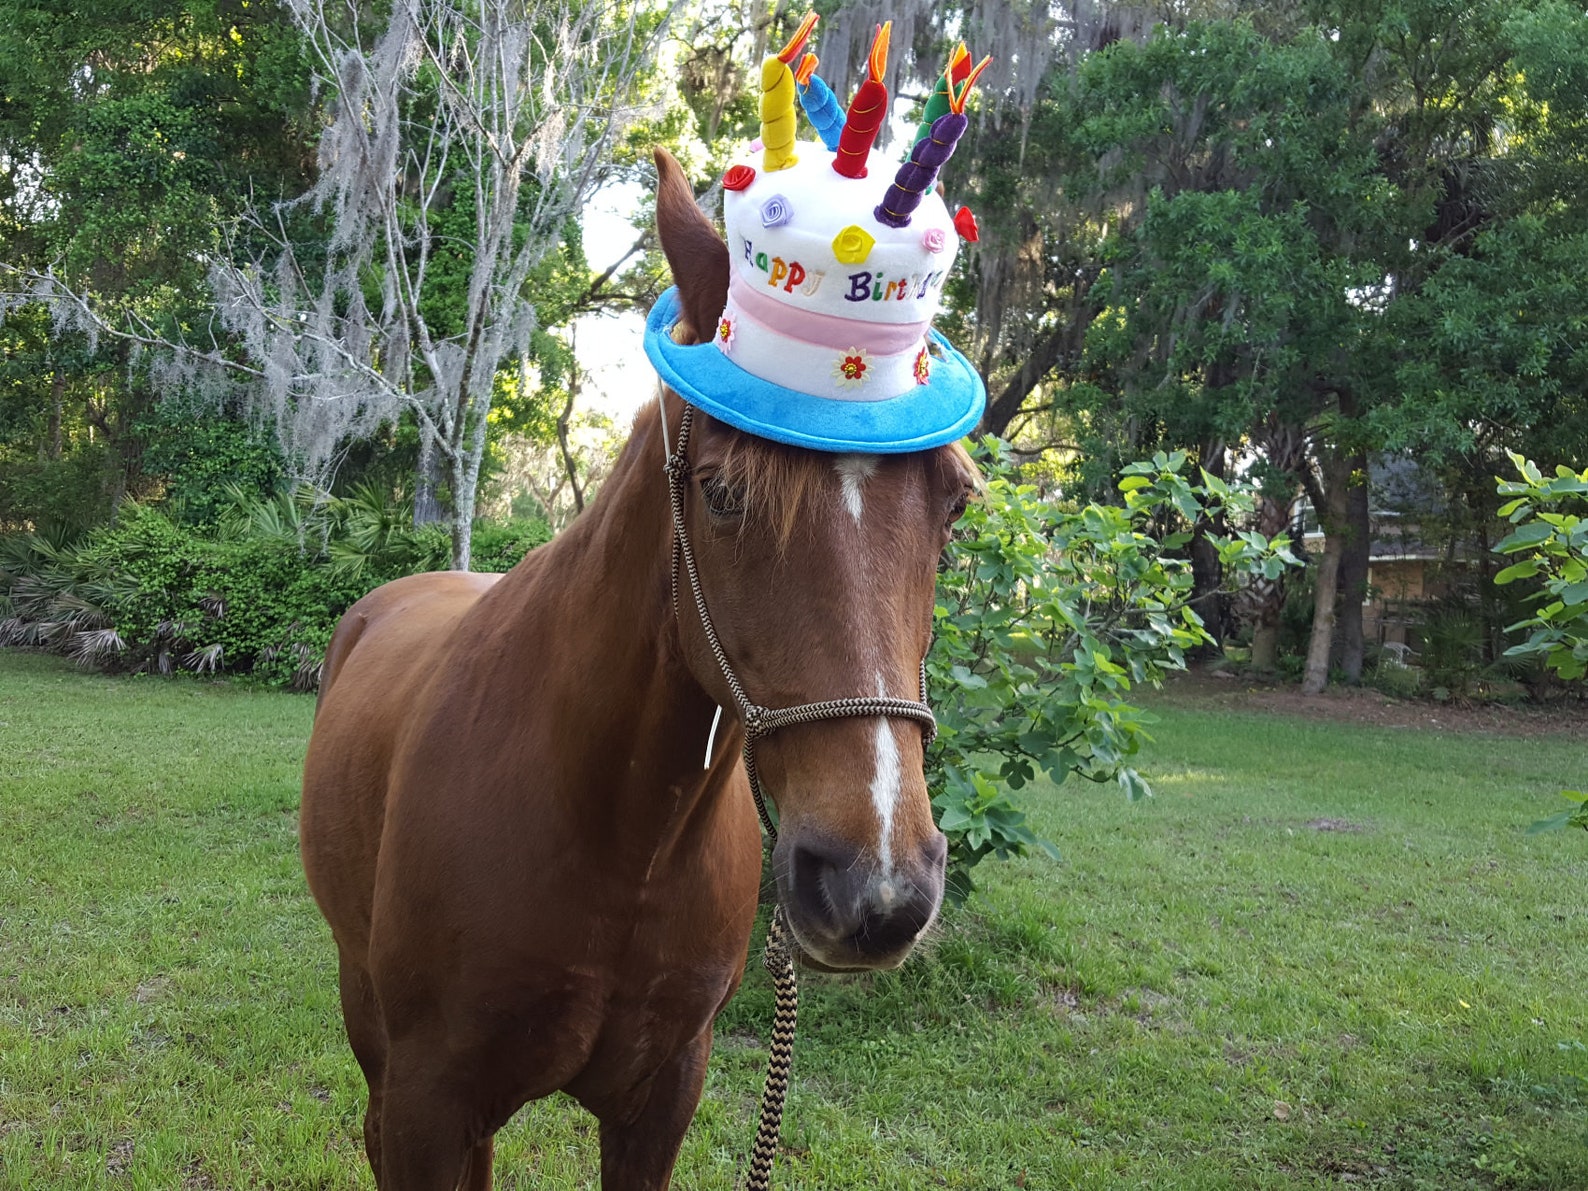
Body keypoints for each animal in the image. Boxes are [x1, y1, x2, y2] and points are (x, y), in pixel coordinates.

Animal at [299, 148, 978, 1190]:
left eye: (954, 507)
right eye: (724, 493)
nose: (878, 888)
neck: (619, 837)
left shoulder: (662, 1095)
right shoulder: (427, 1099)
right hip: (366, 1015)